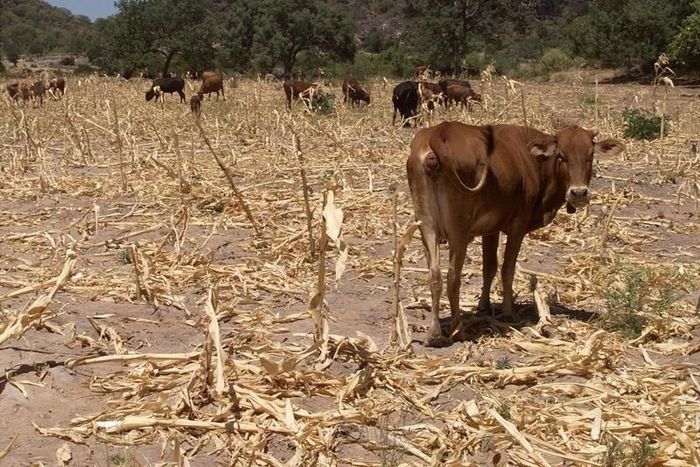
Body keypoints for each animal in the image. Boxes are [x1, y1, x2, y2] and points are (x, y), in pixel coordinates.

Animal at [406, 122, 624, 346]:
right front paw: (509, 311)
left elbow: (489, 267)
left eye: (590, 154)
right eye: (561, 155)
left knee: (435, 276)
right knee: (452, 277)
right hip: (458, 232)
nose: (579, 193)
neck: (533, 162)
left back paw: (434, 333)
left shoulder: (491, 229)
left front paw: (484, 306)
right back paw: (458, 328)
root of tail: (440, 131)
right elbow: (507, 269)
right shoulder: (517, 227)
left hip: (426, 226)